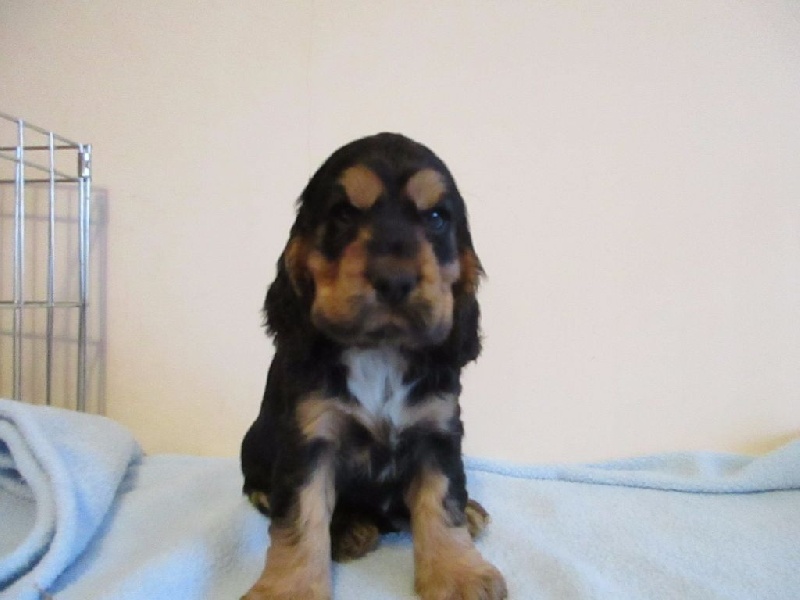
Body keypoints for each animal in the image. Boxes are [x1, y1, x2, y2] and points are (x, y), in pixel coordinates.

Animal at [241, 133, 507, 600]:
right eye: (344, 214)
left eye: (436, 218)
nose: (395, 280)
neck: (379, 352)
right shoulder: (308, 438)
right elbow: (299, 517)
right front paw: (290, 588)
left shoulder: (437, 432)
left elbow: (443, 501)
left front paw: (458, 573)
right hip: (253, 444)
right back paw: (348, 529)